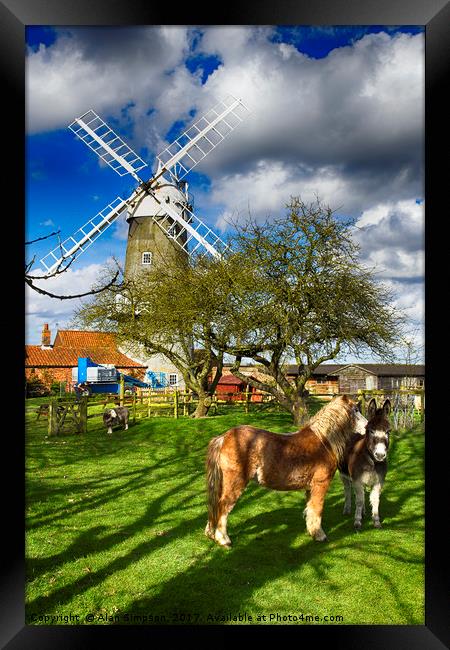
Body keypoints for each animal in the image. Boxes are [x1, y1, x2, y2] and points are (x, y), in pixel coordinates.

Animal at [206, 392, 368, 544]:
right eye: (355, 411)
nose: (367, 427)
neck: (324, 441)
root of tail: (224, 438)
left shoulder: (310, 488)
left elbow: (310, 510)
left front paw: (311, 532)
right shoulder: (320, 484)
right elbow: (317, 509)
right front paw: (319, 535)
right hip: (235, 483)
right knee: (223, 506)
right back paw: (223, 539)